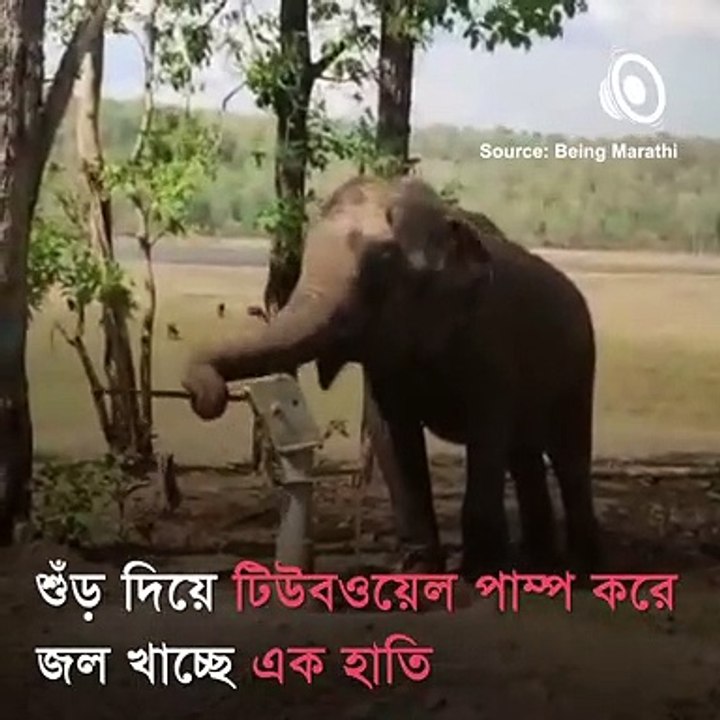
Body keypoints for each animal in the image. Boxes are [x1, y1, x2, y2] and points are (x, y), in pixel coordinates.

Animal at [182, 175, 602, 581]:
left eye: (380, 264)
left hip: (580, 368)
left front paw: (479, 574)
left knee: (568, 456)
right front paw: (418, 572)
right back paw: (540, 564)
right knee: (524, 456)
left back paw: (580, 567)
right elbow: (392, 434)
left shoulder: (490, 345)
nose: (201, 391)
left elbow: (487, 434)